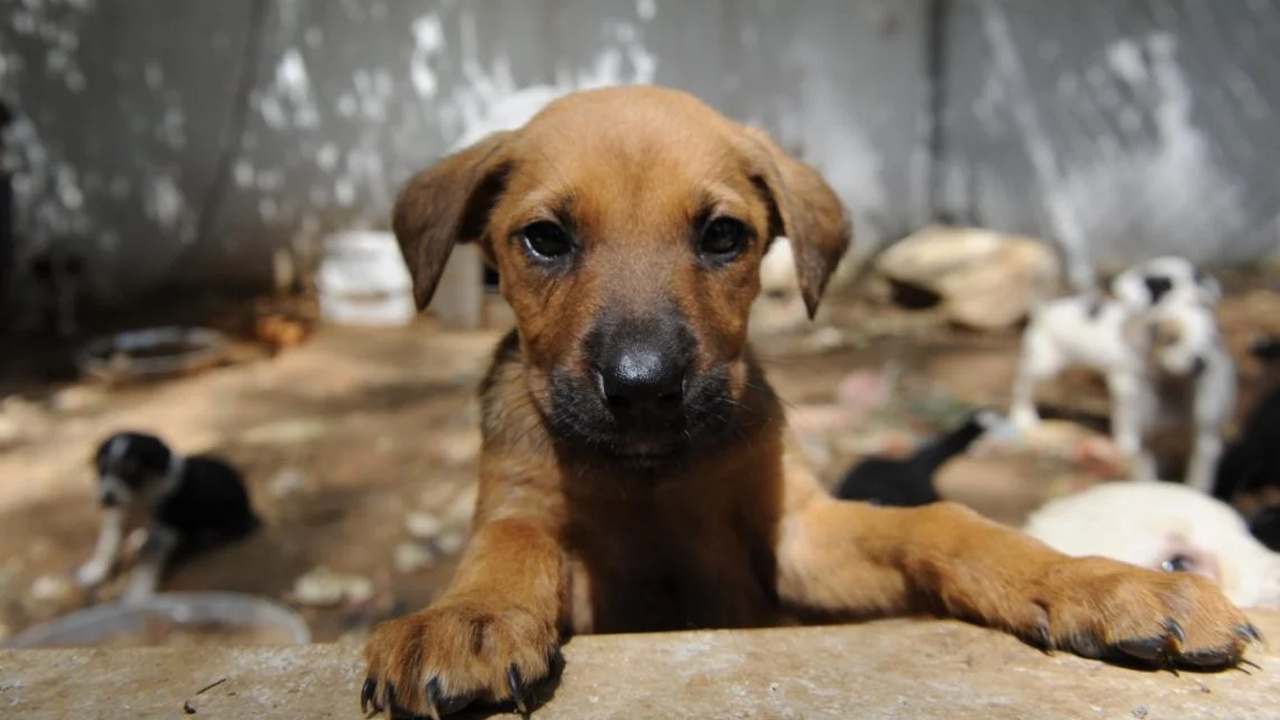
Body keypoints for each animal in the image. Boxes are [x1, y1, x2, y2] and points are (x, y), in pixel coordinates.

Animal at [73, 427, 258, 597]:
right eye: (102, 469)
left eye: (132, 472)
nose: (106, 499)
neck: (140, 496)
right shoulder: (118, 519)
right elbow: (106, 547)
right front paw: (94, 572)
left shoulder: (163, 534)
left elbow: (145, 566)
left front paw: (137, 596)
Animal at [1008, 254, 1228, 489]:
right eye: (1165, 285)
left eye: (1198, 280)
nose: (1201, 297)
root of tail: (1045, 310)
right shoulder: (1126, 384)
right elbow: (1129, 421)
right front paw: (1126, 446)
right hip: (1046, 363)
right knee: (1023, 386)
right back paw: (1024, 415)